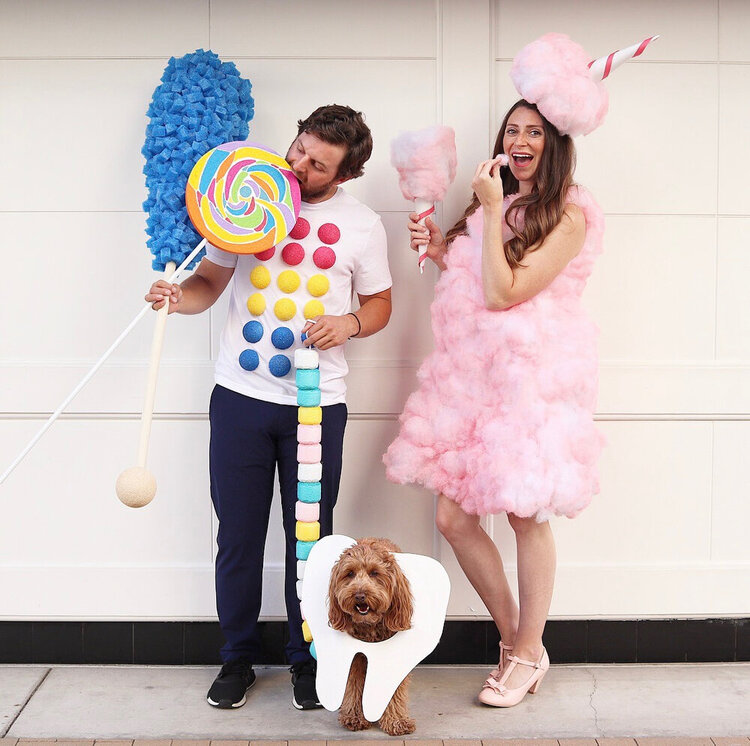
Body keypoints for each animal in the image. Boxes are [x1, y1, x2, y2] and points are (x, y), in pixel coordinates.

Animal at [328, 536, 418, 736]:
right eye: (350, 573)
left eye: (375, 573)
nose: (360, 595)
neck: (370, 626)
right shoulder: (356, 657)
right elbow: (354, 685)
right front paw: (354, 716)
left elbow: (394, 690)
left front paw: (396, 721)